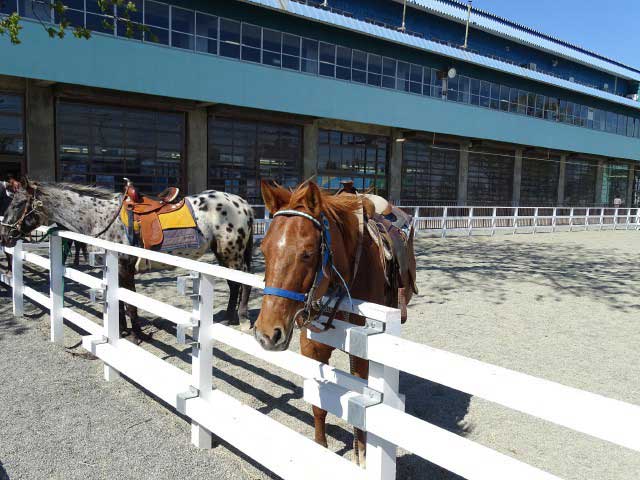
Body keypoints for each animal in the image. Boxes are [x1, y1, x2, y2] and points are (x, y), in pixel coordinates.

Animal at [0, 179, 254, 337]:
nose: (4, 235)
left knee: (245, 282)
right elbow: (119, 301)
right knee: (233, 284)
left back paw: (241, 319)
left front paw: (137, 335)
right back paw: (229, 317)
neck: (103, 217)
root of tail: (242, 203)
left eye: (19, 203)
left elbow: (130, 303)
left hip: (232, 253)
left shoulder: (125, 267)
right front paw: (121, 330)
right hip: (223, 254)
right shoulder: (115, 268)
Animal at [254, 179, 416, 466]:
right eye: (263, 250)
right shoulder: (312, 345)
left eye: (307, 254)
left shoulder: (362, 348)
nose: (267, 335)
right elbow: (320, 405)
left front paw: (362, 454)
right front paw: (321, 447)